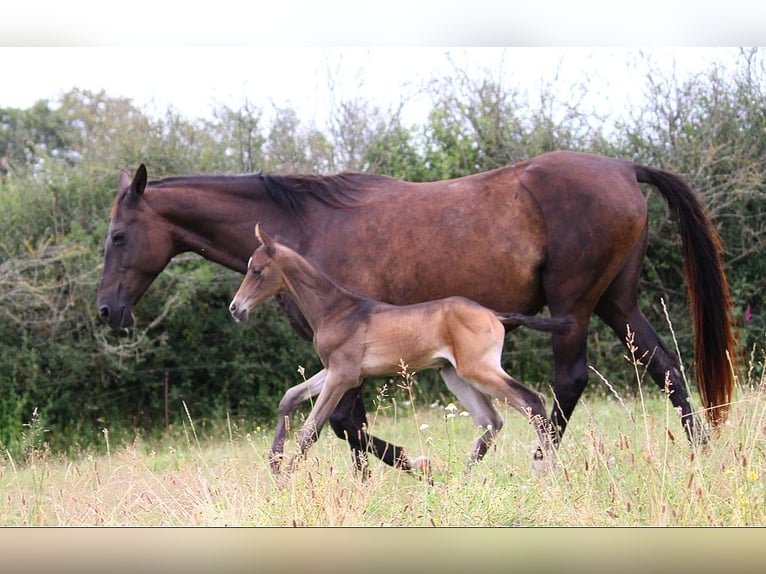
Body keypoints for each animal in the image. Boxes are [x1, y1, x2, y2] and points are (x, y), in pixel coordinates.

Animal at [231, 225, 572, 476]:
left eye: (257, 270)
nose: (236, 308)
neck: (335, 309)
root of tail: (494, 314)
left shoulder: (343, 375)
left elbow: (310, 429)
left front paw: (286, 478)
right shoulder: (338, 371)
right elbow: (289, 397)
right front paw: (275, 461)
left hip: (478, 368)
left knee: (531, 401)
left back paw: (551, 471)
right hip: (454, 374)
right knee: (491, 420)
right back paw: (461, 478)